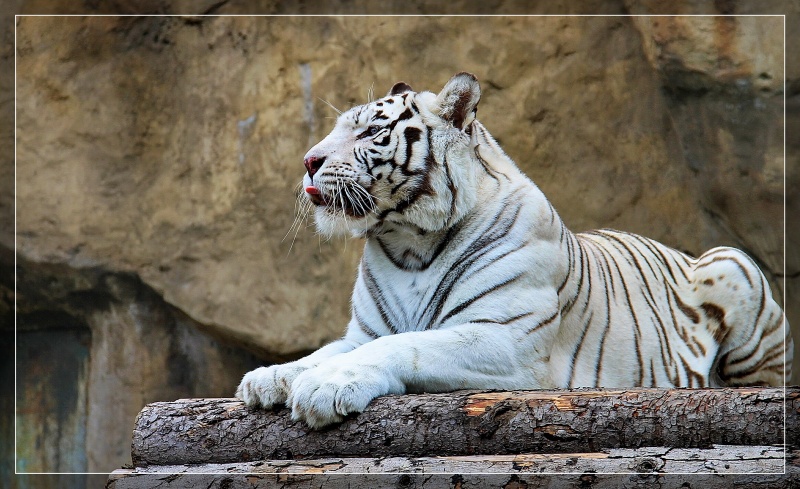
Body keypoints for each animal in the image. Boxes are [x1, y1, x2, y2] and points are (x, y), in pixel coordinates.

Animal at [237, 72, 793, 429]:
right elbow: (330, 349)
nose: (308, 161)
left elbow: (404, 346)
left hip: (732, 266)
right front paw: (270, 377)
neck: (407, 243)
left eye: (372, 131)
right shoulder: (363, 331)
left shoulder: (508, 339)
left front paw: (326, 387)